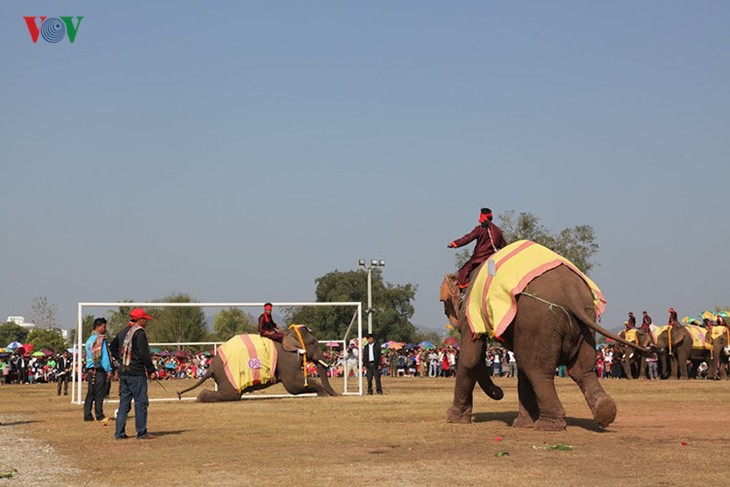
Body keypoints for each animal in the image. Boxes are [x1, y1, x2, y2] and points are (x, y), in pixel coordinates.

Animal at [176, 326, 338, 402]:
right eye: (313, 342)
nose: (338, 395)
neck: (288, 336)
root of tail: (212, 366)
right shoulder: (287, 359)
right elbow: (293, 385)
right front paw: (323, 394)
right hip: (227, 377)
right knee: (231, 395)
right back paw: (200, 398)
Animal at [438, 264, 644, 432]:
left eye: (446, 306)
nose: (500, 392)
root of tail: (571, 295)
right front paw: (522, 424)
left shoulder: (472, 308)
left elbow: (469, 359)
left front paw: (453, 419)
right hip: (585, 324)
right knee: (581, 370)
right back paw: (605, 411)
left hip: (539, 322)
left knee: (537, 371)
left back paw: (548, 425)